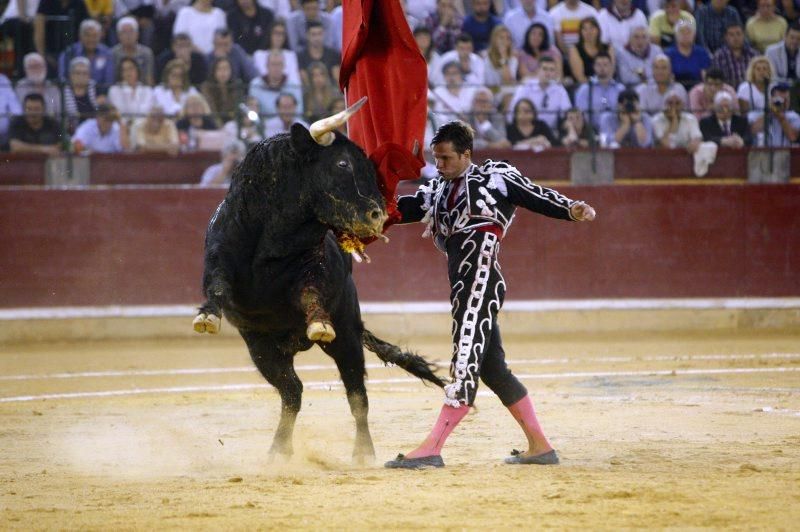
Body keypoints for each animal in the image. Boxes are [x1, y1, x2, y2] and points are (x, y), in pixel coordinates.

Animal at [194, 122, 444, 460]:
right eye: (342, 163)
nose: (378, 215)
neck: (273, 239)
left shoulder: (313, 268)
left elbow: (310, 291)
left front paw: (319, 323)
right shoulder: (218, 257)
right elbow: (218, 286)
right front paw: (207, 316)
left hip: (347, 336)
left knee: (356, 395)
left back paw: (362, 452)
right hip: (261, 348)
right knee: (293, 392)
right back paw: (279, 451)